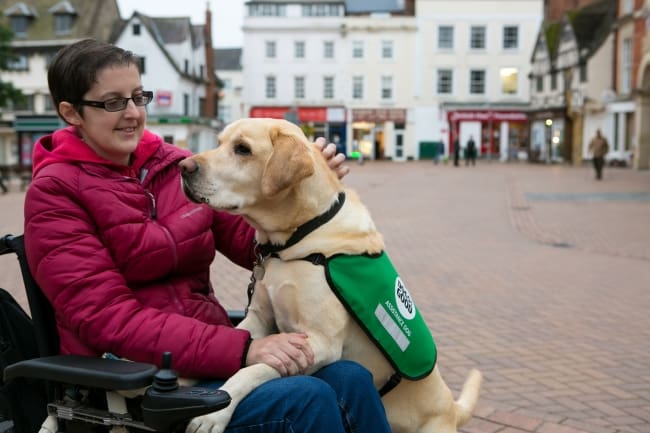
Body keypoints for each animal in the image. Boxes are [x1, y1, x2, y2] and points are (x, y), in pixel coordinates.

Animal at [180, 118, 478, 432]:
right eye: (219, 142)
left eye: (242, 149)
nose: (183, 167)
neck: (294, 239)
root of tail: (451, 406)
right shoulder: (260, 318)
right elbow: (237, 340)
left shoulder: (318, 344)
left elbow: (253, 370)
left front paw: (214, 413)